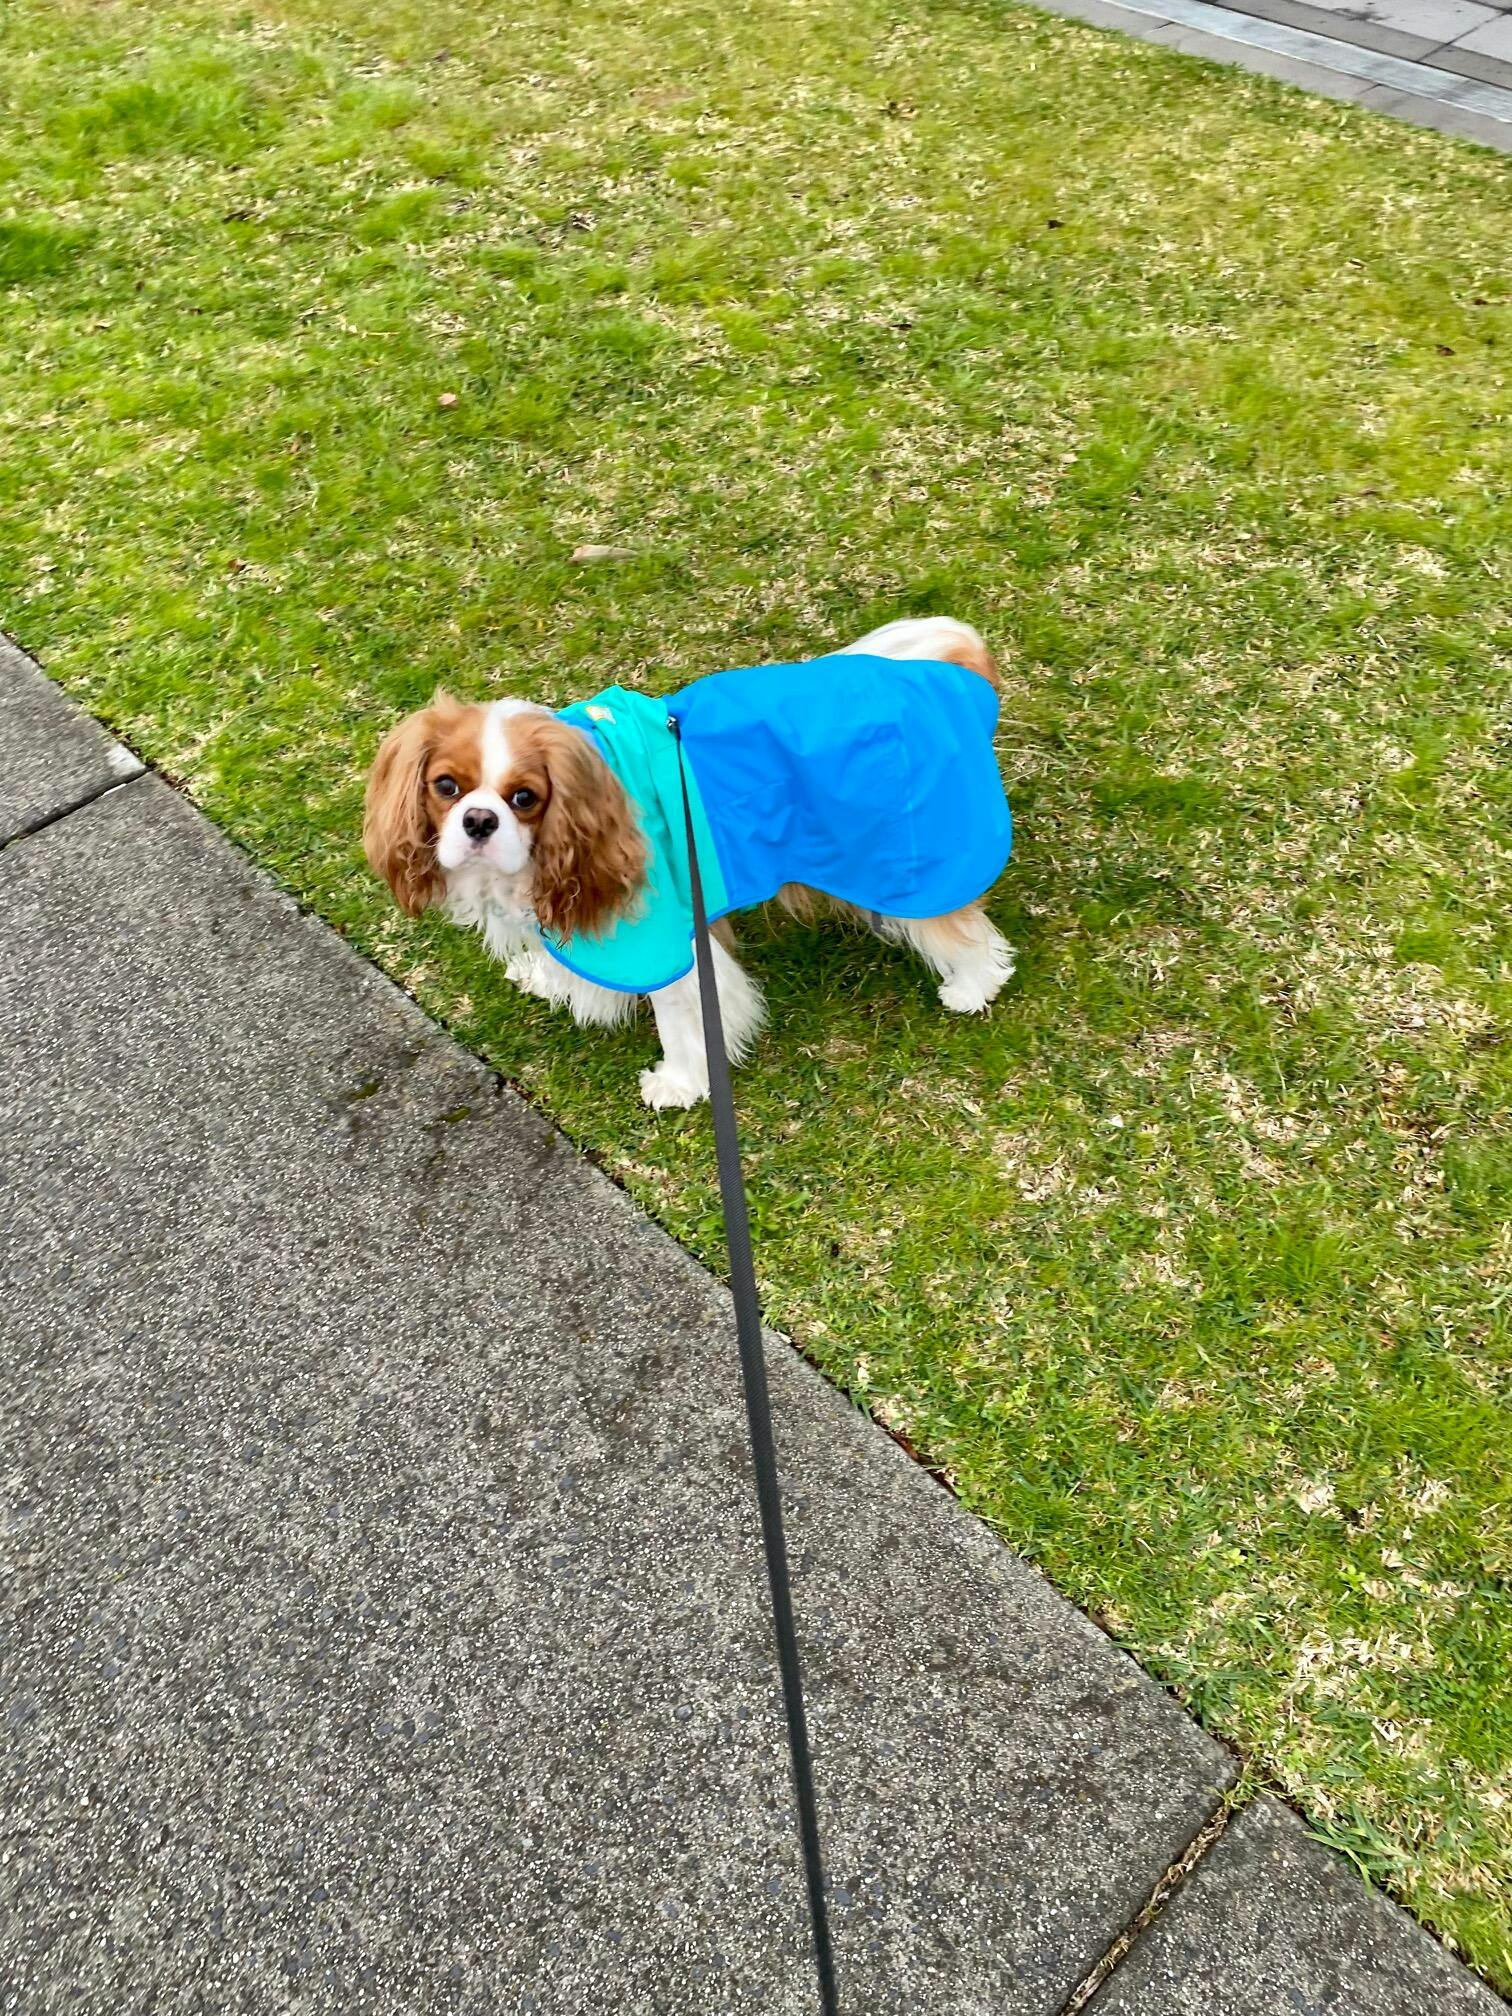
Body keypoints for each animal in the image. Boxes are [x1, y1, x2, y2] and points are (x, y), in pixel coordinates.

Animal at [360, 620, 1012, 1112]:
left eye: (525, 798)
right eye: (446, 787)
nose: (478, 821)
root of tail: (948, 672)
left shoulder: (665, 936)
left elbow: (681, 1018)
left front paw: (678, 1083)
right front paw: (547, 977)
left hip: (910, 864)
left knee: (966, 931)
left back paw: (972, 985)